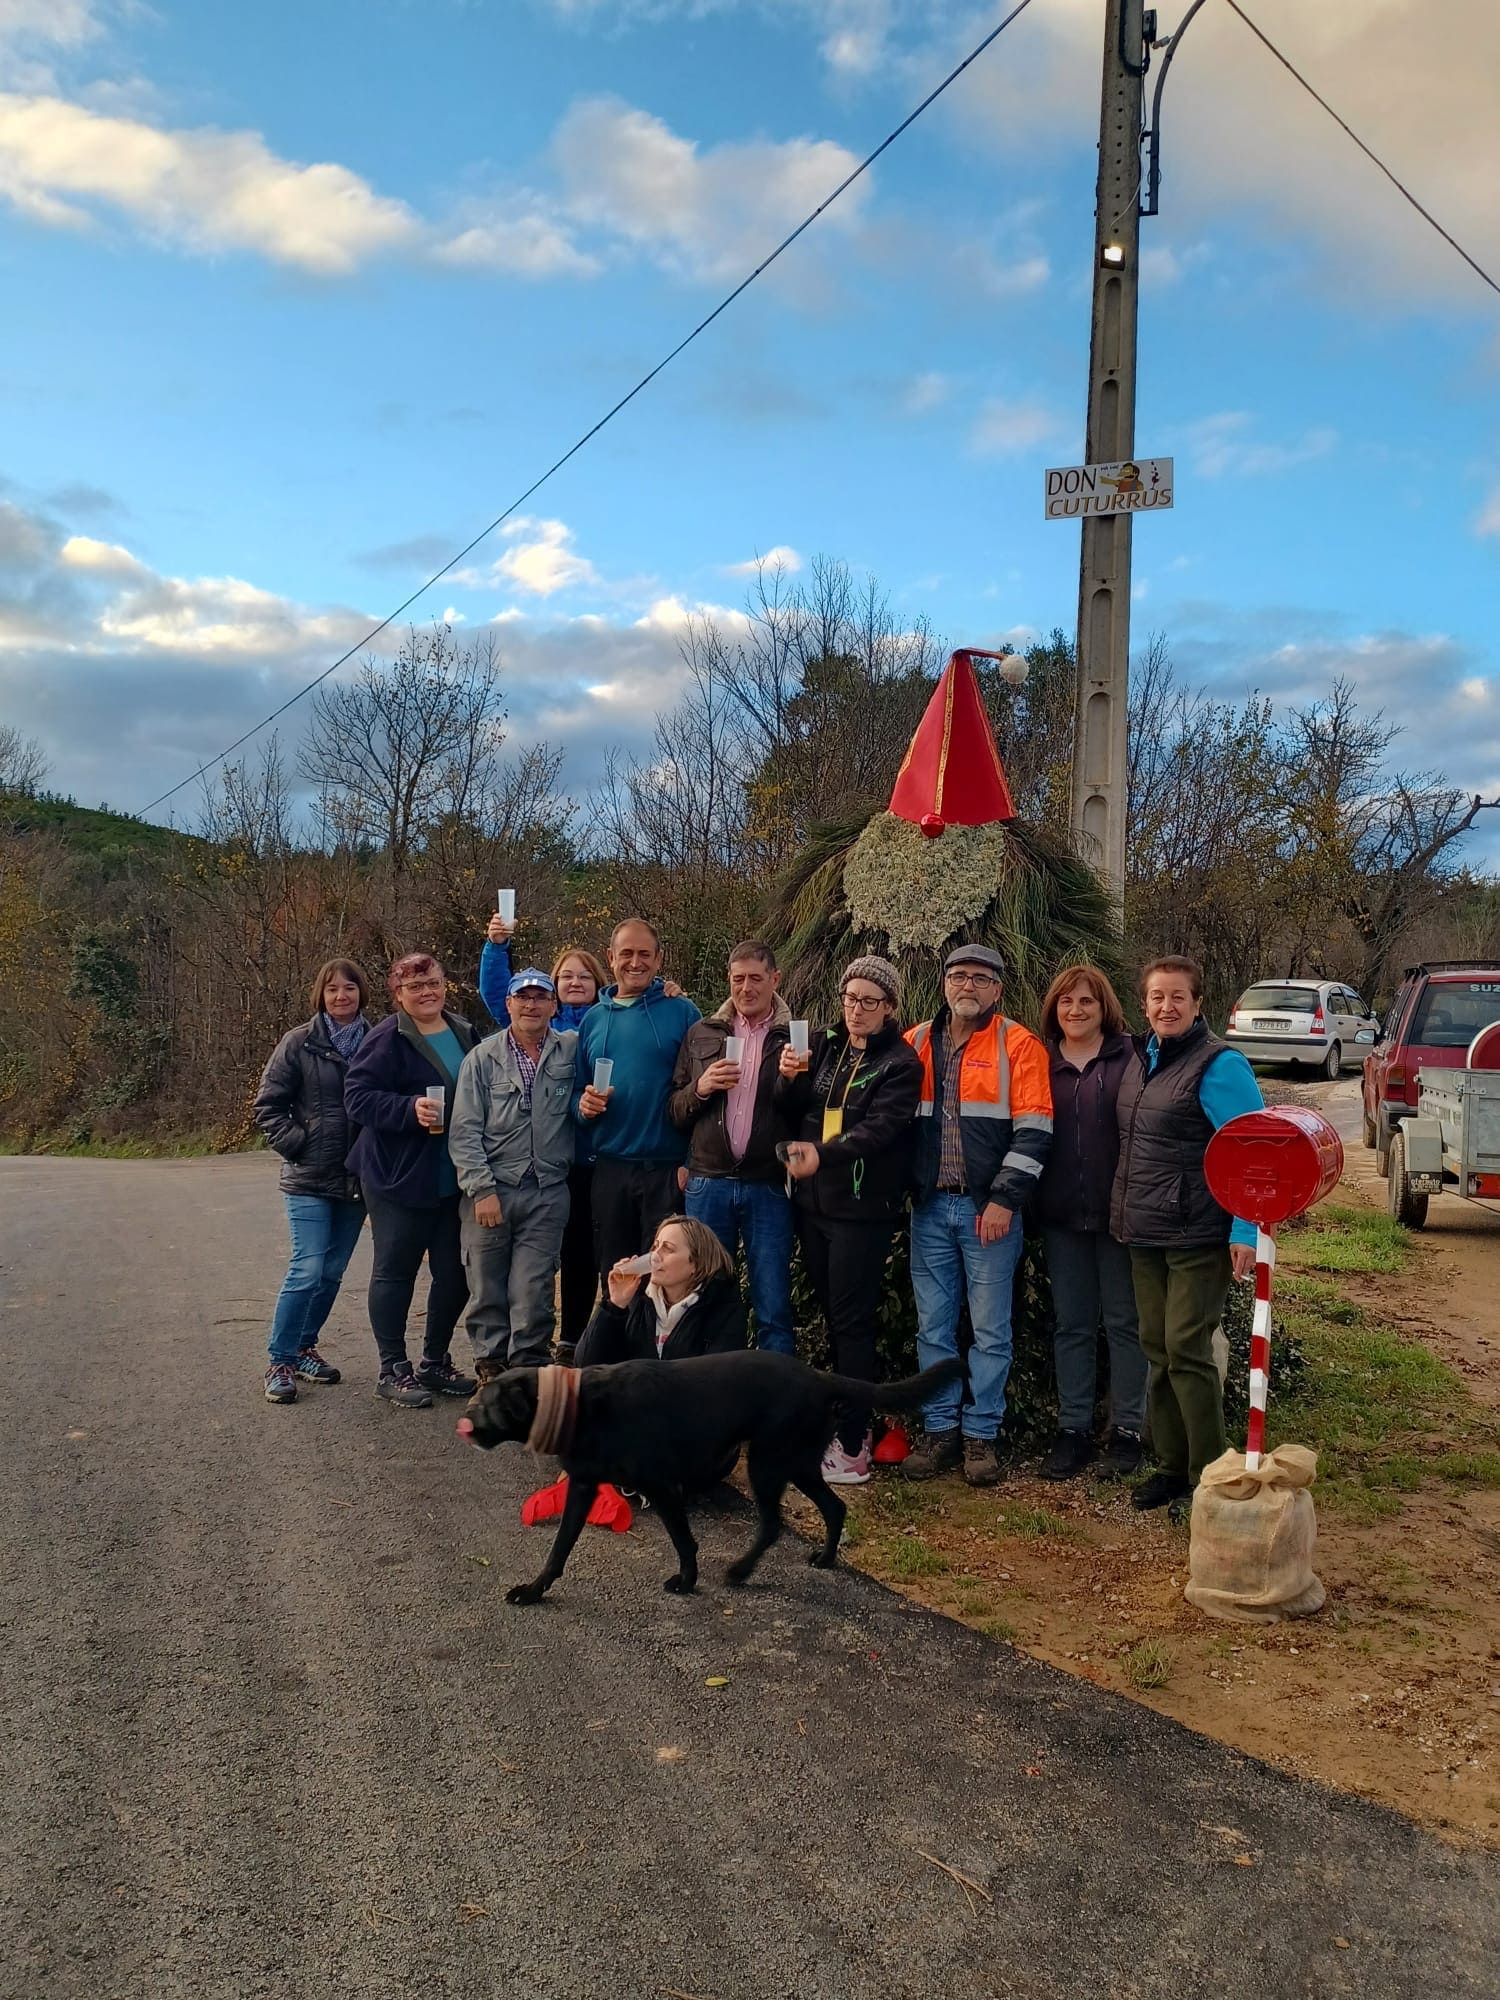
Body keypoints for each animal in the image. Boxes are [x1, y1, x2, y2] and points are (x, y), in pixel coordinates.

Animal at [458, 1344, 968, 1608]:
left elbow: (684, 1540)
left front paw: (686, 1581)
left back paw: (740, 1570)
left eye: (487, 1405)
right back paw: (824, 1558)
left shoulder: (662, 1485)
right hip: (796, 1462)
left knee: (773, 1524)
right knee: (834, 1506)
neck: (580, 1404)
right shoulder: (584, 1487)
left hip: (767, 1462)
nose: (465, 1424)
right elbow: (559, 1549)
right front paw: (534, 1590)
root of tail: (819, 1376)